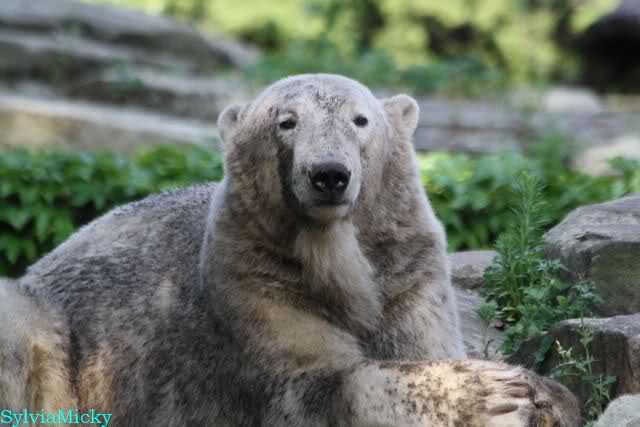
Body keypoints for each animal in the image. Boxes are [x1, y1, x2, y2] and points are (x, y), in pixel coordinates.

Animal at [3, 74, 580, 426]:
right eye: (286, 121)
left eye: (360, 120)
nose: (329, 174)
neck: (332, 255)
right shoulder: (252, 278)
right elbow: (314, 387)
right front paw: (493, 395)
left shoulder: (407, 273)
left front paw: (544, 394)